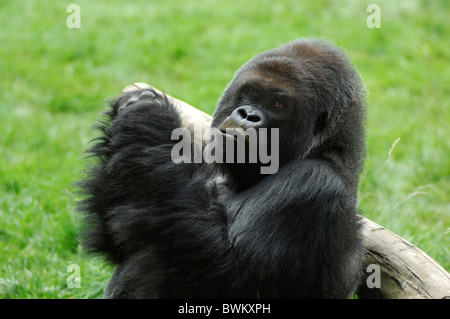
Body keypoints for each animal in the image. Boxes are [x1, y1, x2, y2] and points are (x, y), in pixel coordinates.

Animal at [77, 38, 366, 300]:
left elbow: (225, 272)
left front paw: (149, 118)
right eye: (253, 93)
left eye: (279, 104)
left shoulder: (313, 182)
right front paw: (128, 111)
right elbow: (122, 240)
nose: (248, 115)